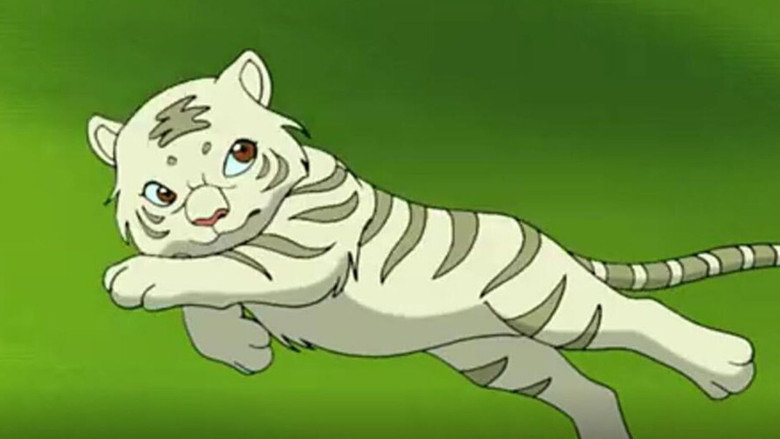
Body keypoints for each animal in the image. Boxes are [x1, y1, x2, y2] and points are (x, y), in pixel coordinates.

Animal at [88, 50, 762, 439]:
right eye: (161, 194)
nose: (210, 215)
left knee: (638, 315)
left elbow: (223, 269)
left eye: (241, 154)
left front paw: (135, 278)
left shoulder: (297, 261)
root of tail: (547, 239)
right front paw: (242, 349)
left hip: (551, 306)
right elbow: (203, 297)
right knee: (592, 390)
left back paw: (726, 365)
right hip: (499, 358)